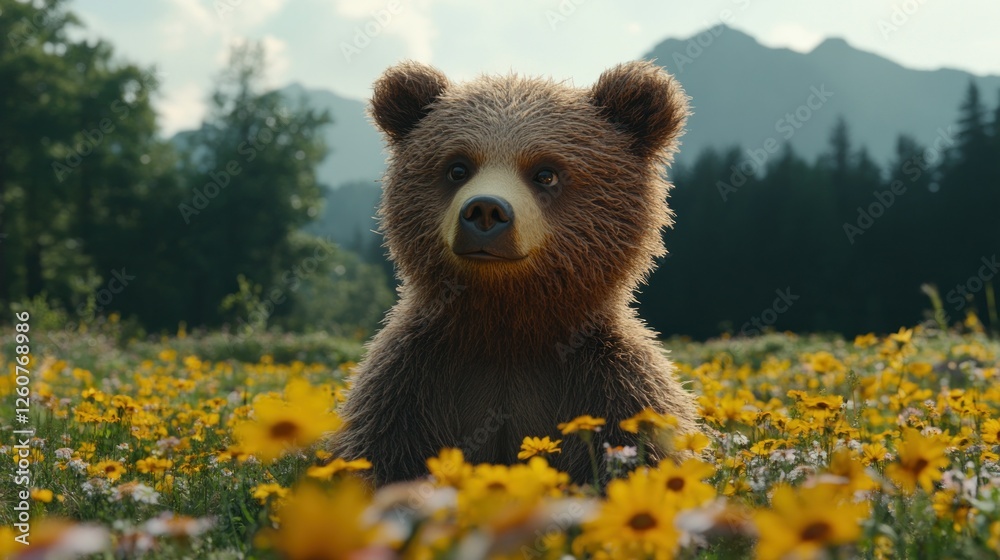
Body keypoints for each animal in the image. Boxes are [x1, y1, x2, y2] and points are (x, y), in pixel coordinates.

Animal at [332, 60, 700, 487]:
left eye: (546, 172)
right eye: (457, 167)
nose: (485, 211)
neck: (509, 330)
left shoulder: (613, 384)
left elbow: (637, 451)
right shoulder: (409, 382)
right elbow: (383, 455)